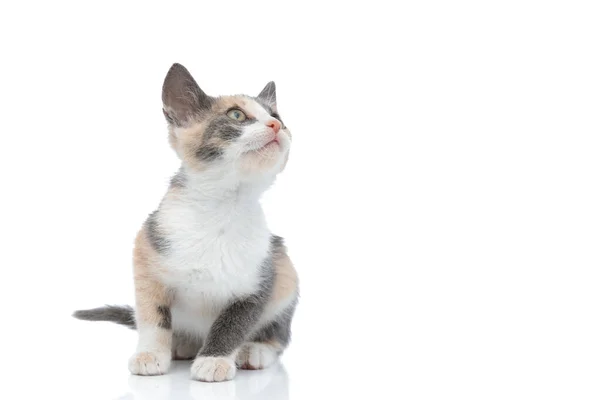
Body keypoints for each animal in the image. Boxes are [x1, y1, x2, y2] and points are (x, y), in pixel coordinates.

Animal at [74, 62, 298, 382]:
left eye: (277, 116)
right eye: (236, 115)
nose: (276, 126)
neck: (221, 210)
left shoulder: (260, 280)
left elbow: (234, 323)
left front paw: (215, 359)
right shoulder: (146, 255)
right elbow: (152, 317)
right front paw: (151, 354)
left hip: (287, 274)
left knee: (279, 334)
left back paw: (254, 350)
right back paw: (181, 344)